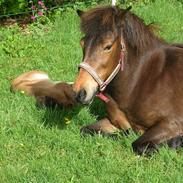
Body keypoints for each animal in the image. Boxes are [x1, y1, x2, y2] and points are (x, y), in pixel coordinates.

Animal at [11, 5, 183, 155]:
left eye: (108, 46)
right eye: (82, 43)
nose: (80, 93)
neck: (140, 82)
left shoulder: (171, 123)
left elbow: (138, 144)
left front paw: (176, 141)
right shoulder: (112, 122)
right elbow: (88, 130)